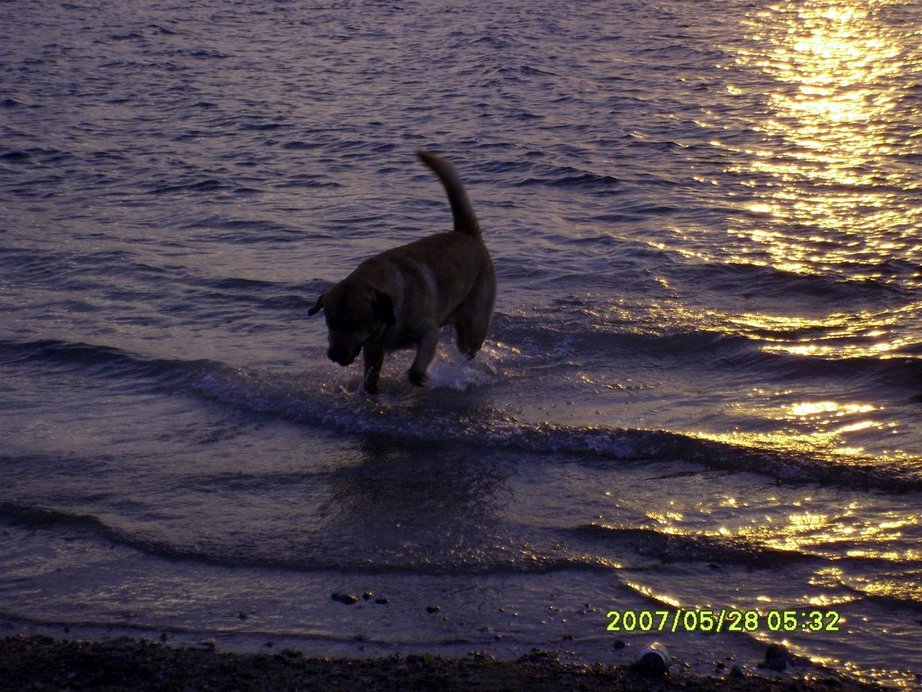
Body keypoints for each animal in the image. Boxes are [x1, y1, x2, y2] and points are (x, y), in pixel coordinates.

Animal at [310, 149, 496, 392]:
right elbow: (370, 382)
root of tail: (467, 234)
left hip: (475, 327)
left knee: (468, 352)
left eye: (355, 323)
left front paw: (424, 379)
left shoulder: (429, 334)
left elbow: (415, 371)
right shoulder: (373, 351)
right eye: (330, 322)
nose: (334, 355)